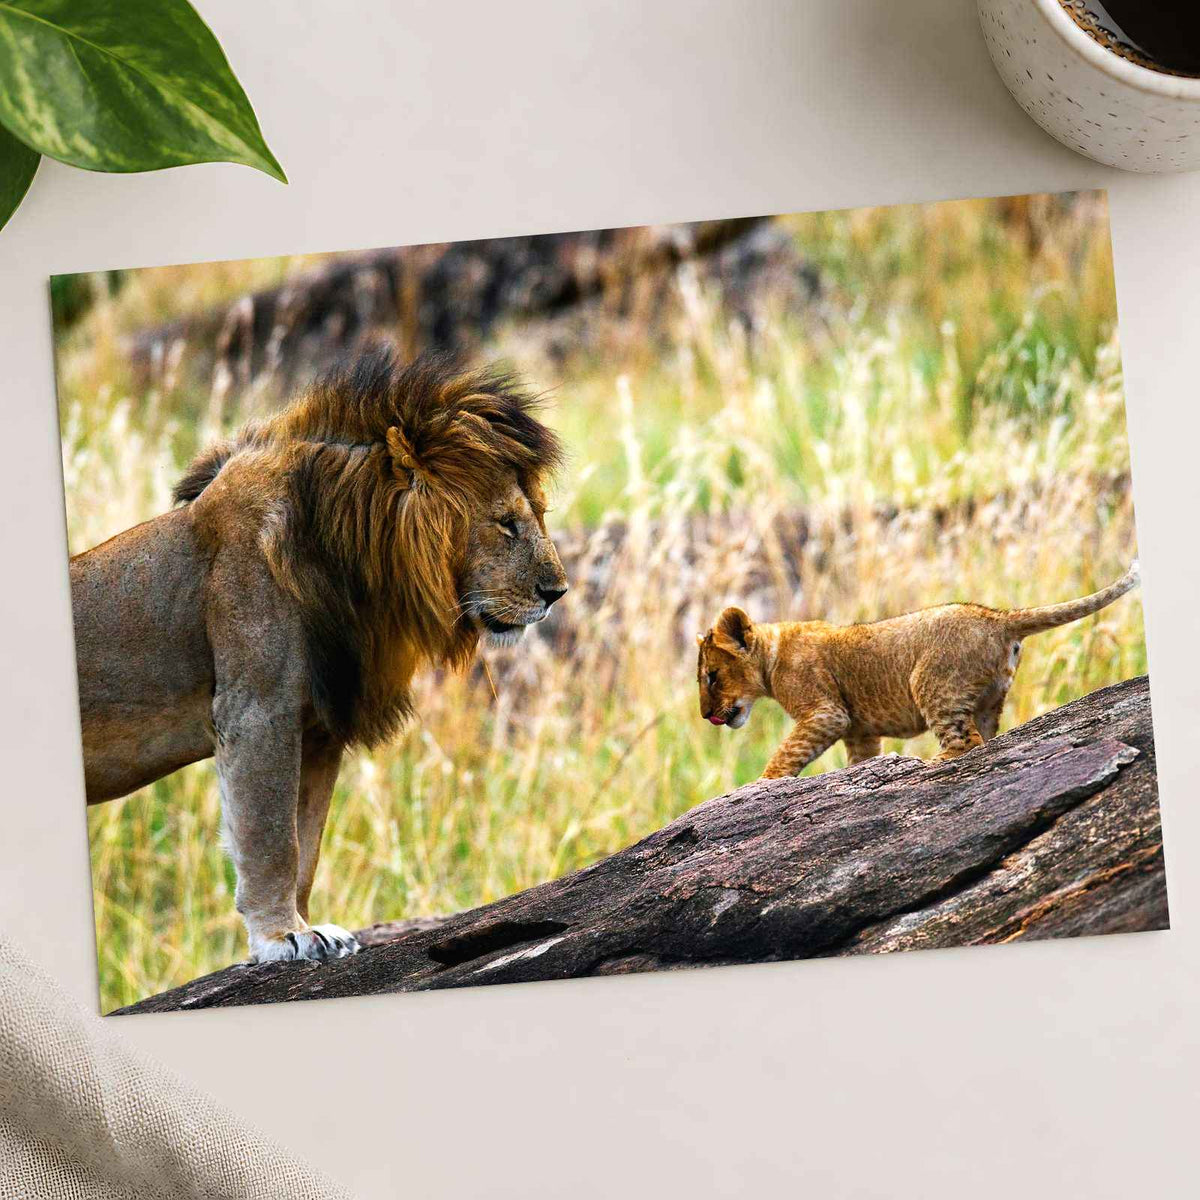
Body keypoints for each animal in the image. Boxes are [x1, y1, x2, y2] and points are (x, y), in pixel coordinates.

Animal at [72, 349, 567, 965]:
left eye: (538, 514)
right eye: (507, 523)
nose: (558, 592)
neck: (353, 567)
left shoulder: (319, 727)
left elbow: (304, 842)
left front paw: (311, 929)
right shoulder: (257, 710)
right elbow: (271, 838)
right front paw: (280, 935)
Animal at [697, 562, 1140, 778]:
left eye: (712, 677)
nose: (705, 716)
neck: (773, 655)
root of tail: (996, 617)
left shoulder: (826, 712)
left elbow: (788, 751)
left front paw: (764, 783)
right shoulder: (859, 732)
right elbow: (857, 760)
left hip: (930, 681)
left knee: (965, 742)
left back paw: (930, 765)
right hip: (989, 697)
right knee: (985, 736)